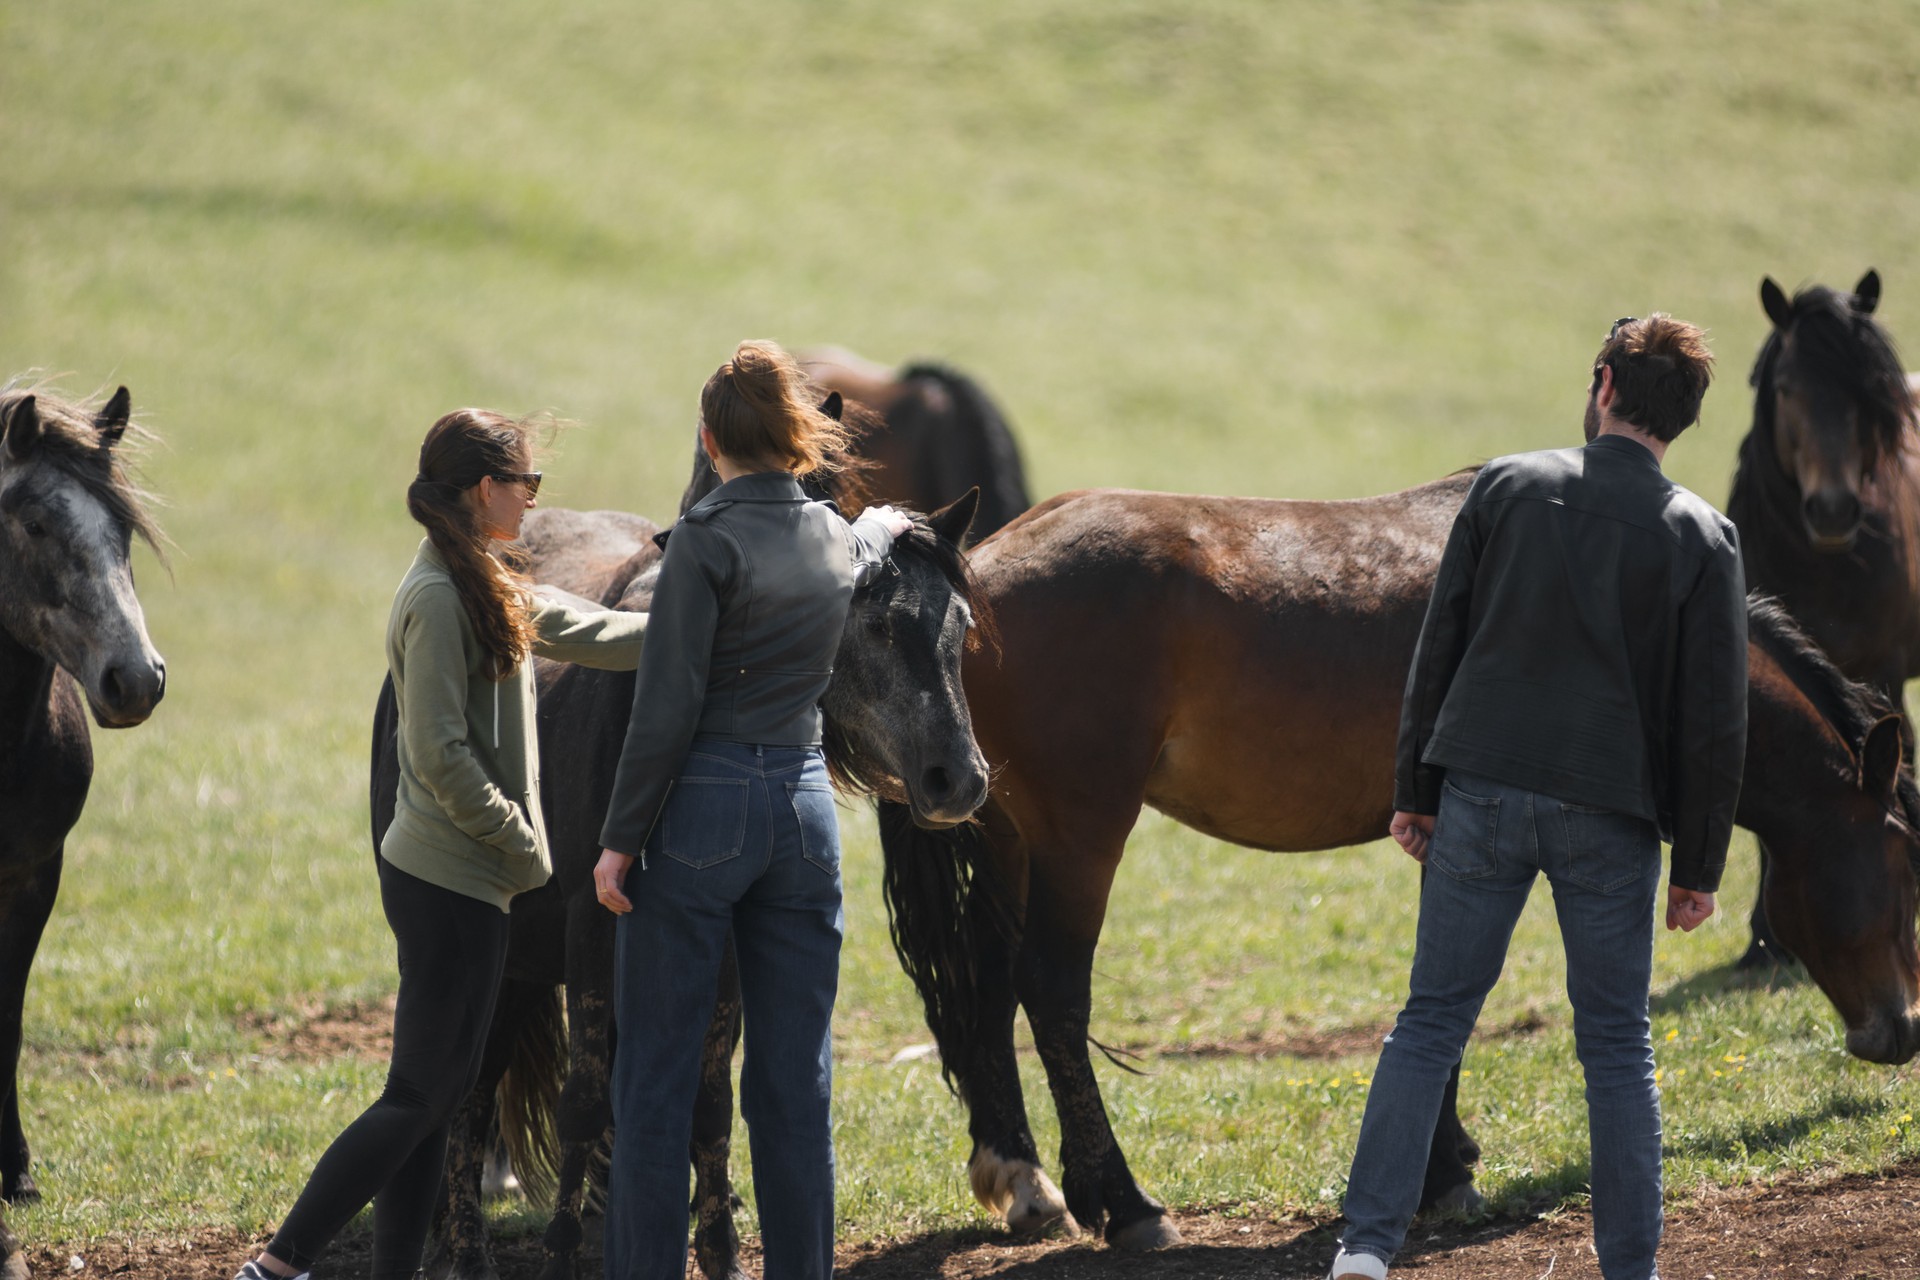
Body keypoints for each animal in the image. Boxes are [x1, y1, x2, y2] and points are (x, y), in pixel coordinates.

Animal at [879, 474, 1920, 1251]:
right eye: (1906, 860)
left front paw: (1442, 1167)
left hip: (1008, 841)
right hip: (1079, 837)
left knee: (985, 989)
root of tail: (978, 575)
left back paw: (1022, 1178)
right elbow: (1456, 993)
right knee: (1051, 992)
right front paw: (1445, 1172)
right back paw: (1125, 1204)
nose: (1902, 1030)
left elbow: (1442, 990)